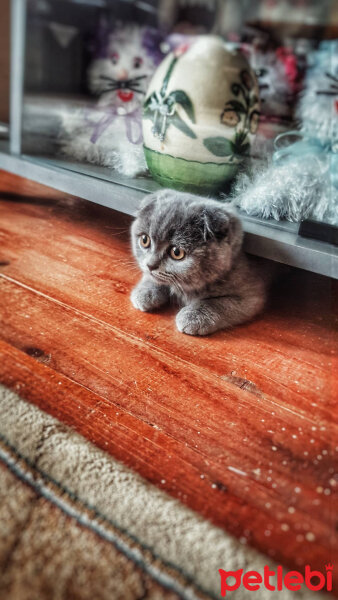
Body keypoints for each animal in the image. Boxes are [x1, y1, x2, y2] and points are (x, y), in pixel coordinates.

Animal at [131, 190, 270, 336]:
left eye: (176, 252)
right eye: (144, 240)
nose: (150, 265)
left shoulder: (252, 295)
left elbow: (219, 303)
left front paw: (194, 316)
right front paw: (145, 291)